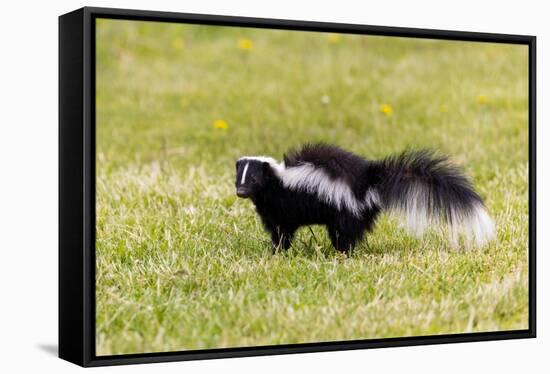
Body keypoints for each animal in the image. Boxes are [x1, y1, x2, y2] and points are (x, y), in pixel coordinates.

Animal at [235, 143, 498, 254]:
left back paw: (341, 254)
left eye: (254, 180)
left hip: (345, 208)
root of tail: (368, 182)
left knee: (345, 234)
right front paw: (276, 250)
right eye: (238, 178)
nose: (240, 192)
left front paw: (277, 251)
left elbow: (282, 232)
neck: (278, 180)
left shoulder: (282, 206)